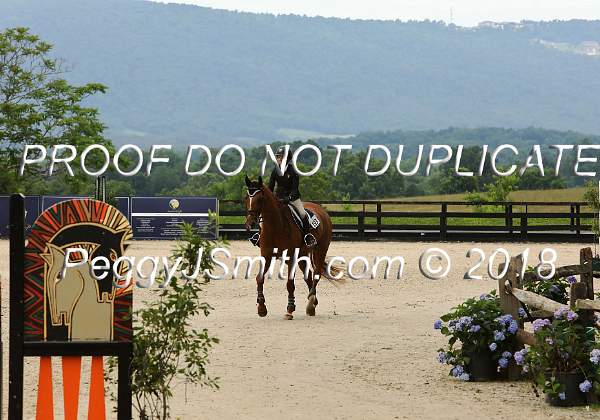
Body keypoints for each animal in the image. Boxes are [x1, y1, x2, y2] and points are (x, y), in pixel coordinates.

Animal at [244, 175, 340, 319]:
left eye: (260, 198)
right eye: (247, 198)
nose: (250, 222)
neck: (275, 226)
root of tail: (322, 210)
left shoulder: (291, 257)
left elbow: (290, 284)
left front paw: (289, 310)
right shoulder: (267, 256)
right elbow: (259, 278)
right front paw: (261, 308)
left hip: (320, 249)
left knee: (316, 274)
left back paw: (311, 303)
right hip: (303, 254)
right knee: (309, 276)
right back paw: (313, 302)